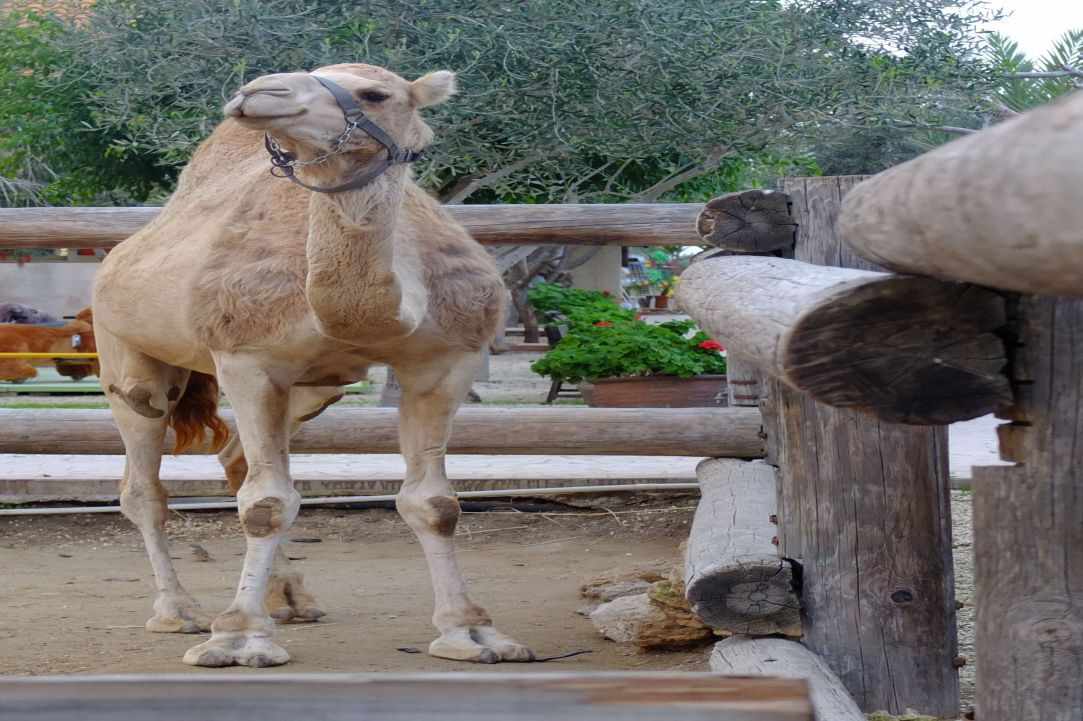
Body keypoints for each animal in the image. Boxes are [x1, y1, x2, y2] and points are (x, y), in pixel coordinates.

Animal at [91, 62, 532, 667]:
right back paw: (178, 612)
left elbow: (435, 503)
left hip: (315, 390)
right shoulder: (247, 360)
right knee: (145, 484)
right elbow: (267, 502)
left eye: (376, 93)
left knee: (235, 459)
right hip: (125, 354)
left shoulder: (446, 362)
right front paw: (237, 638)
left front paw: (472, 632)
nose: (256, 93)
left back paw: (292, 598)